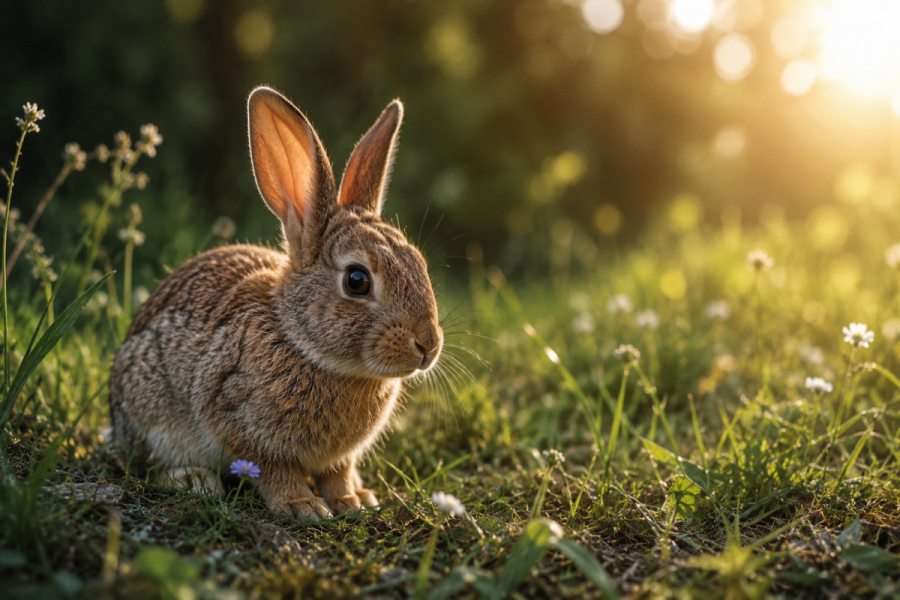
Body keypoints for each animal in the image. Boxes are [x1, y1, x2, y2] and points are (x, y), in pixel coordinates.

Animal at [108, 86, 443, 520]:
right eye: (357, 281)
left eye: (419, 263)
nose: (429, 345)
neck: (302, 343)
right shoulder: (238, 421)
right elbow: (274, 470)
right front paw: (304, 507)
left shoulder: (339, 458)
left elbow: (338, 472)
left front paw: (351, 501)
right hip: (150, 414)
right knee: (148, 466)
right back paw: (195, 481)